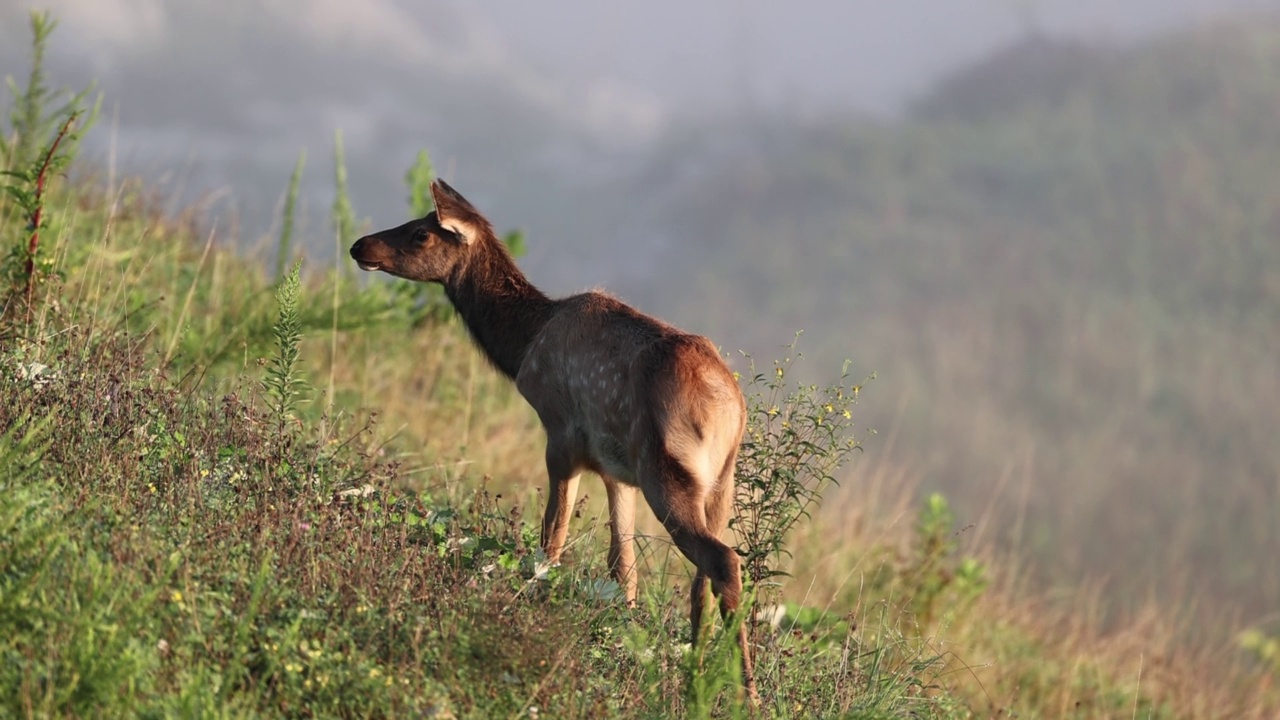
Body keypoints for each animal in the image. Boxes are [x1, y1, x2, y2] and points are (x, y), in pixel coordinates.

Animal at [345, 178, 752, 696]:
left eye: (421, 233)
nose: (360, 246)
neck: (525, 344)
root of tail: (730, 410)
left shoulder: (561, 433)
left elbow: (550, 541)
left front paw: (529, 604)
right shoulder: (615, 468)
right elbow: (623, 568)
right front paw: (619, 638)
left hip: (669, 470)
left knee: (722, 561)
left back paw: (743, 694)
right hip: (719, 484)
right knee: (704, 579)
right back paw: (696, 676)